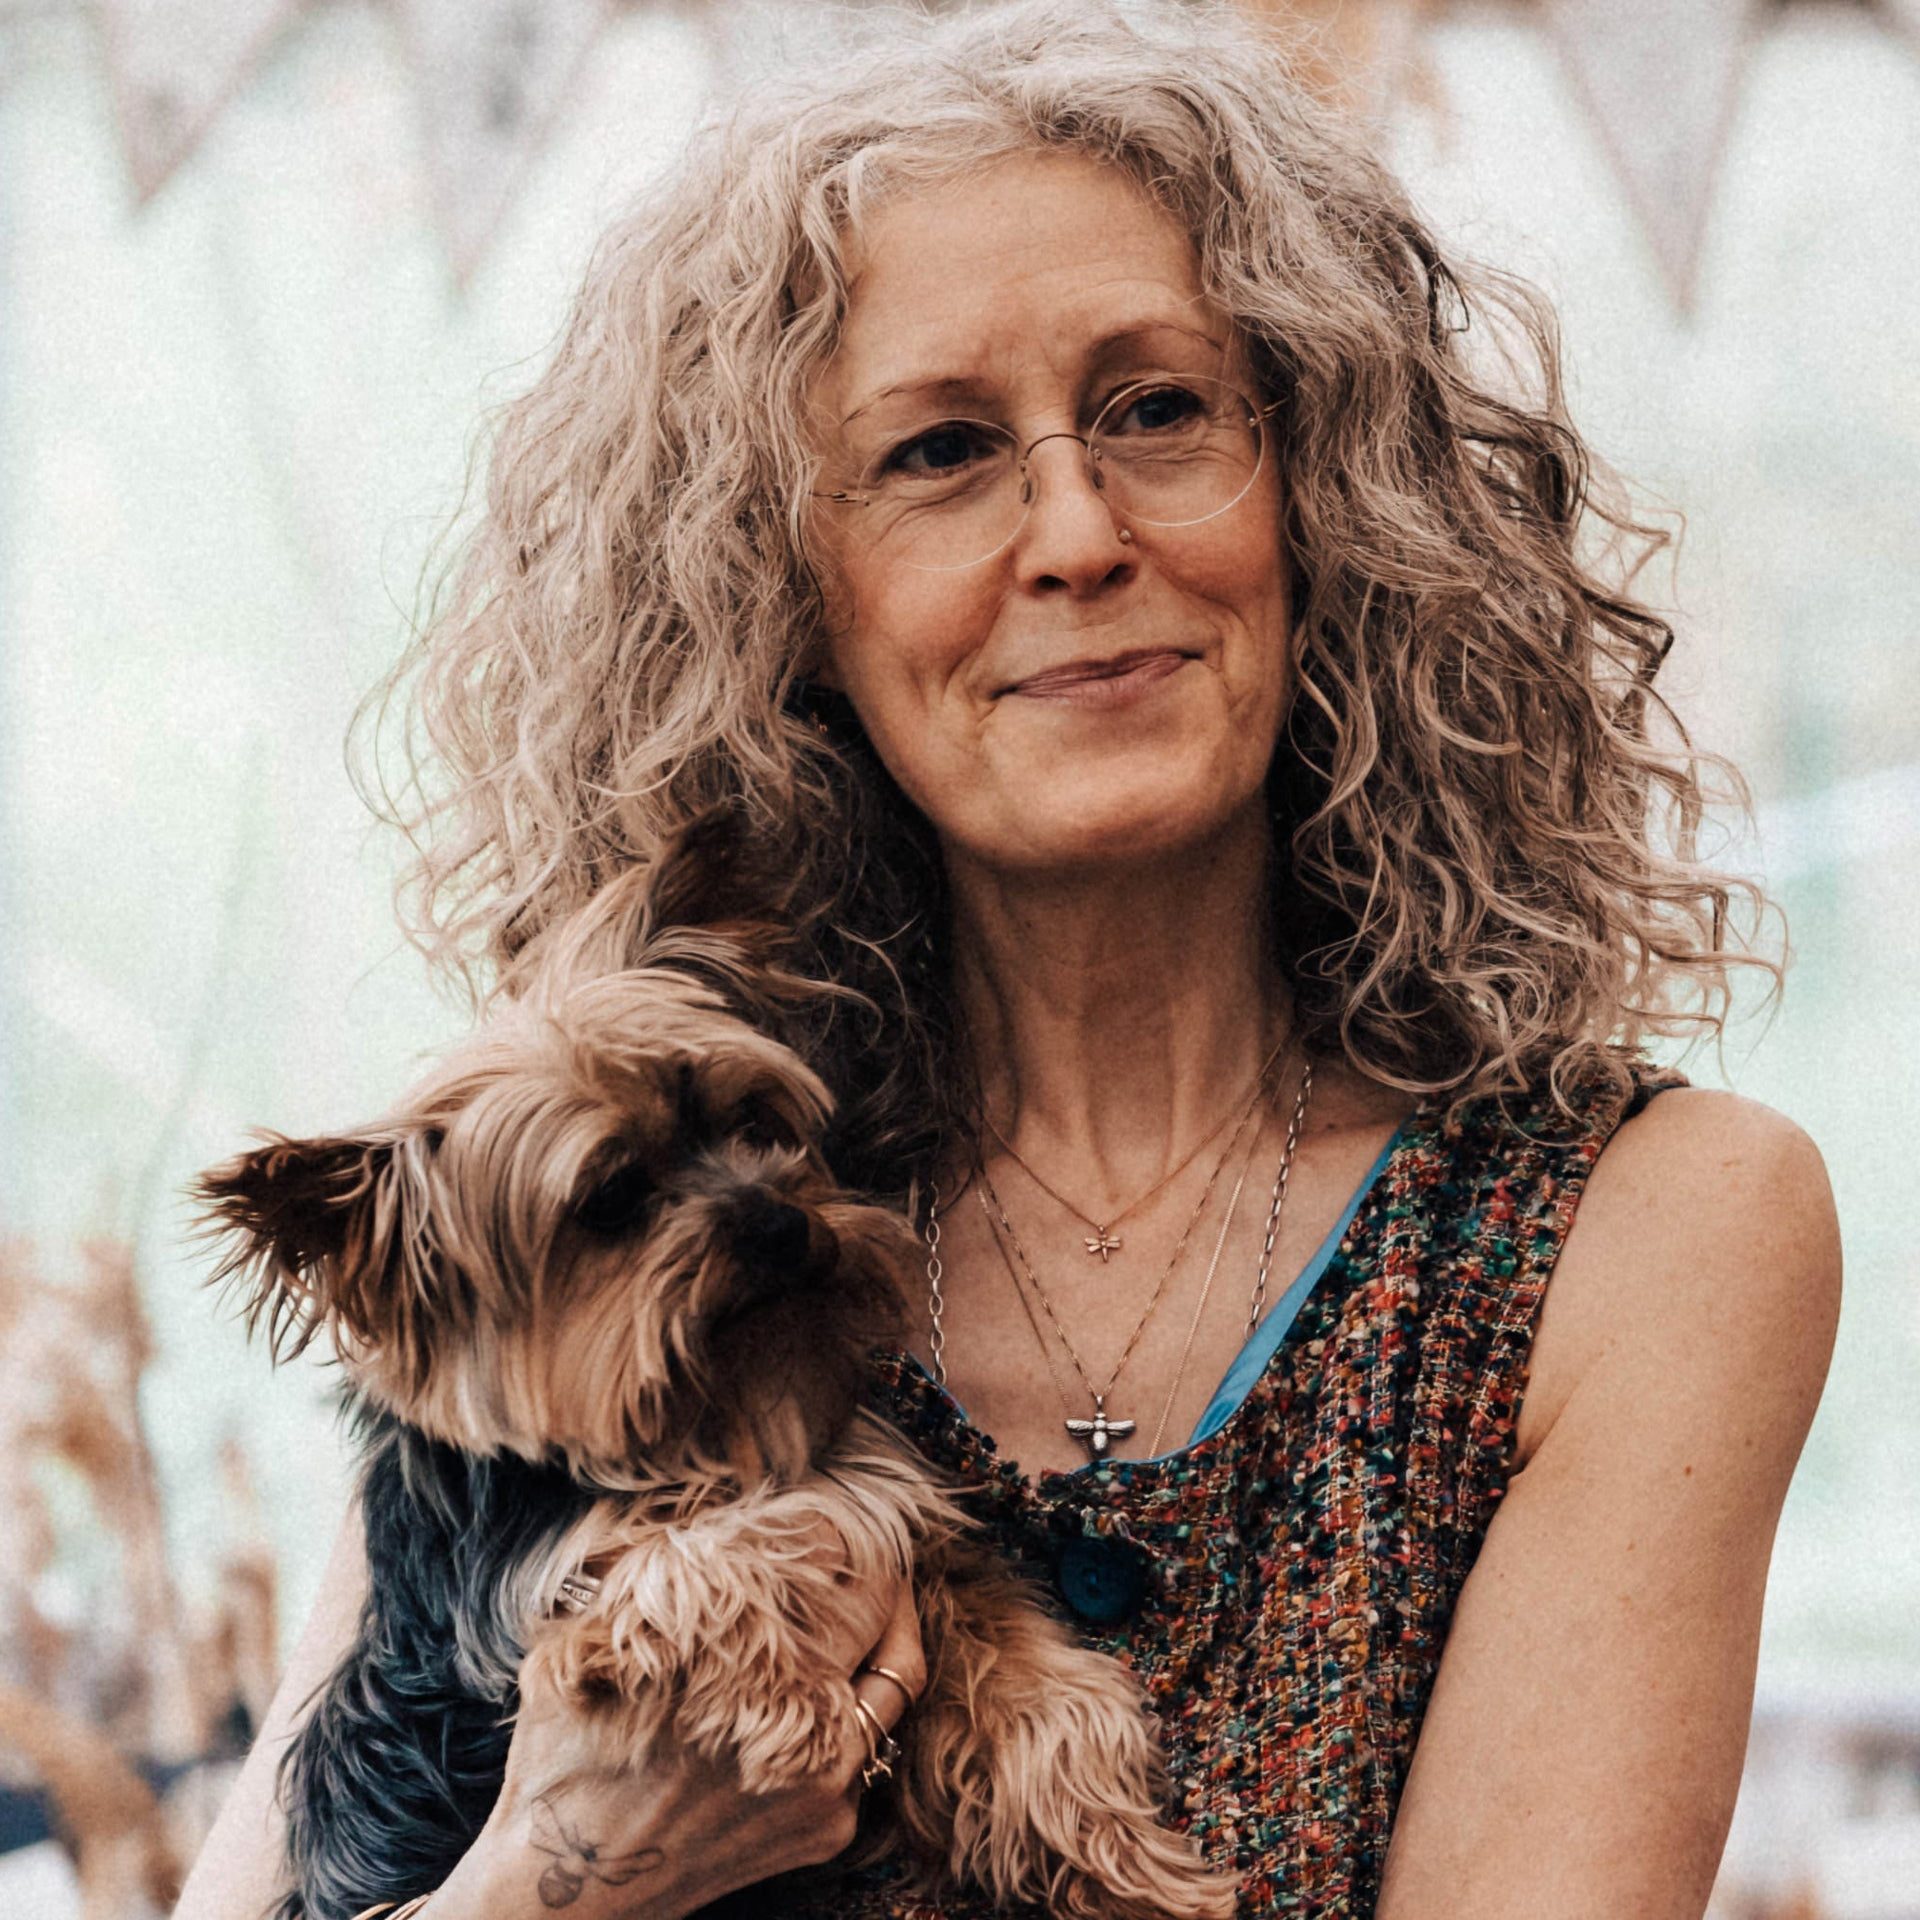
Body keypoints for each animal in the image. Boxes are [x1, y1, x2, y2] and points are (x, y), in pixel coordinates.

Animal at [194, 864, 1236, 1920]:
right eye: (610, 1198)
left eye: (755, 1122)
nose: (778, 1223)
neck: (716, 1422)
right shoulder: (558, 1597)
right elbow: (725, 1548)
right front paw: (794, 1709)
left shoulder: (916, 1550)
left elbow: (1029, 1689)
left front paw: (1131, 1865)